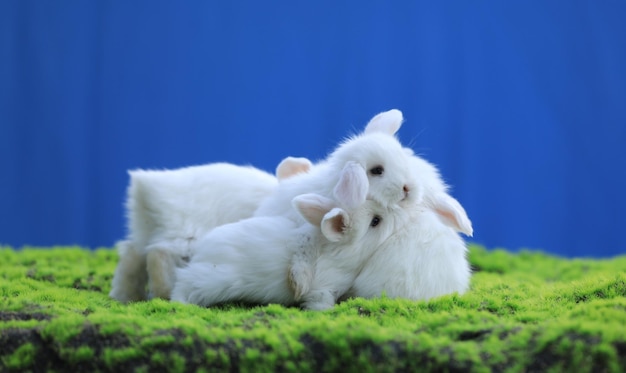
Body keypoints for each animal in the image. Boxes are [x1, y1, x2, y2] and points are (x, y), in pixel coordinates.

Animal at [111, 157, 310, 302]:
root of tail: (146, 188)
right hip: (185, 238)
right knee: (158, 255)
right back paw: (164, 294)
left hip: (143, 234)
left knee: (131, 257)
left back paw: (126, 296)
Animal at [168, 161, 410, 310]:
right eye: (375, 221)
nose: (397, 212)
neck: (339, 253)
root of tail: (203, 250)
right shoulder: (322, 289)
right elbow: (321, 303)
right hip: (209, 279)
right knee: (183, 282)